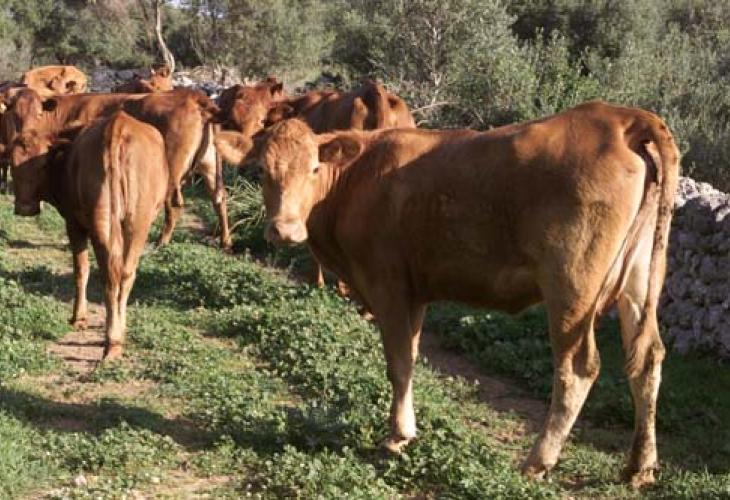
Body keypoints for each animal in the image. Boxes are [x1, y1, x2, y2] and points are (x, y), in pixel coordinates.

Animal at [8, 111, 168, 359]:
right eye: (11, 164)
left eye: (43, 165)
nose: (24, 208)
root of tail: (118, 126)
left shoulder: (73, 223)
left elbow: (80, 270)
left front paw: (78, 318)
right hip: (135, 222)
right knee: (122, 273)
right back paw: (116, 338)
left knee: (109, 273)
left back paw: (112, 340)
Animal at [216, 101, 680, 486]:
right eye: (261, 172)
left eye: (313, 168)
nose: (284, 230)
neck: (356, 179)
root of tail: (624, 117)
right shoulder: (416, 290)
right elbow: (410, 356)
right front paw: (406, 428)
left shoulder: (387, 283)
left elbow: (398, 362)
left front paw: (398, 436)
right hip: (639, 278)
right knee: (647, 359)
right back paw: (639, 467)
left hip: (572, 284)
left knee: (578, 367)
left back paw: (538, 461)